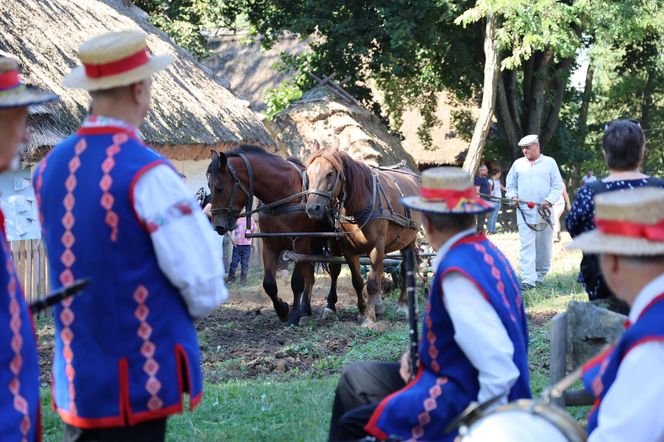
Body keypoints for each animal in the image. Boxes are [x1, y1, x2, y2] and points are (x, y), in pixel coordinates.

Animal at [206, 145, 342, 324]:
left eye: (219, 188)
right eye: (209, 186)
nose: (217, 225)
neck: (284, 195)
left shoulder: (300, 243)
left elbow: (296, 282)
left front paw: (294, 315)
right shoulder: (270, 245)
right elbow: (269, 284)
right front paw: (282, 309)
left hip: (332, 241)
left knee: (334, 270)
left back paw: (330, 305)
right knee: (310, 276)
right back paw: (306, 308)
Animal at [304, 147, 420, 322]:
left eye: (330, 174)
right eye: (309, 173)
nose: (312, 208)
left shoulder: (377, 245)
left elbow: (371, 282)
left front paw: (369, 318)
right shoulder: (348, 248)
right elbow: (357, 280)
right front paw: (362, 310)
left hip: (409, 240)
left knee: (406, 267)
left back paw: (402, 305)